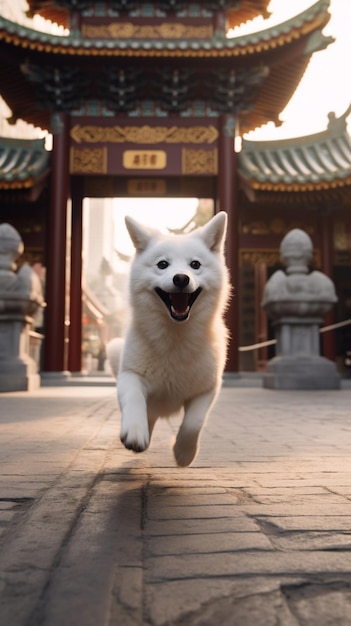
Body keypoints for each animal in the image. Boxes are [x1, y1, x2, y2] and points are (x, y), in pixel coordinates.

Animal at [109, 212, 231, 466]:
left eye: (195, 264)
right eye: (162, 264)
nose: (181, 278)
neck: (176, 336)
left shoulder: (208, 388)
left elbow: (194, 423)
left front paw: (184, 453)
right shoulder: (130, 375)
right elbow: (134, 399)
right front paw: (135, 432)